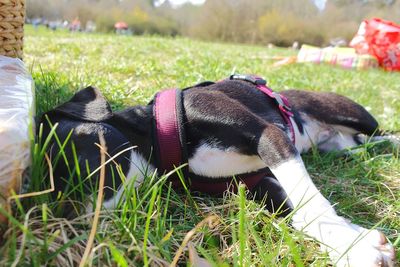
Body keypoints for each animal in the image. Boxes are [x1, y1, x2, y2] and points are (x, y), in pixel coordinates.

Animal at [39, 75, 396, 267]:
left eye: (73, 162)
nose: (65, 224)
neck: (161, 137)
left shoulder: (270, 136)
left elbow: (311, 205)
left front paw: (355, 247)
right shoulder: (259, 185)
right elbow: (300, 213)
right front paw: (353, 243)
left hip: (348, 113)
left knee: (383, 132)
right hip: (342, 145)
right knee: (361, 144)